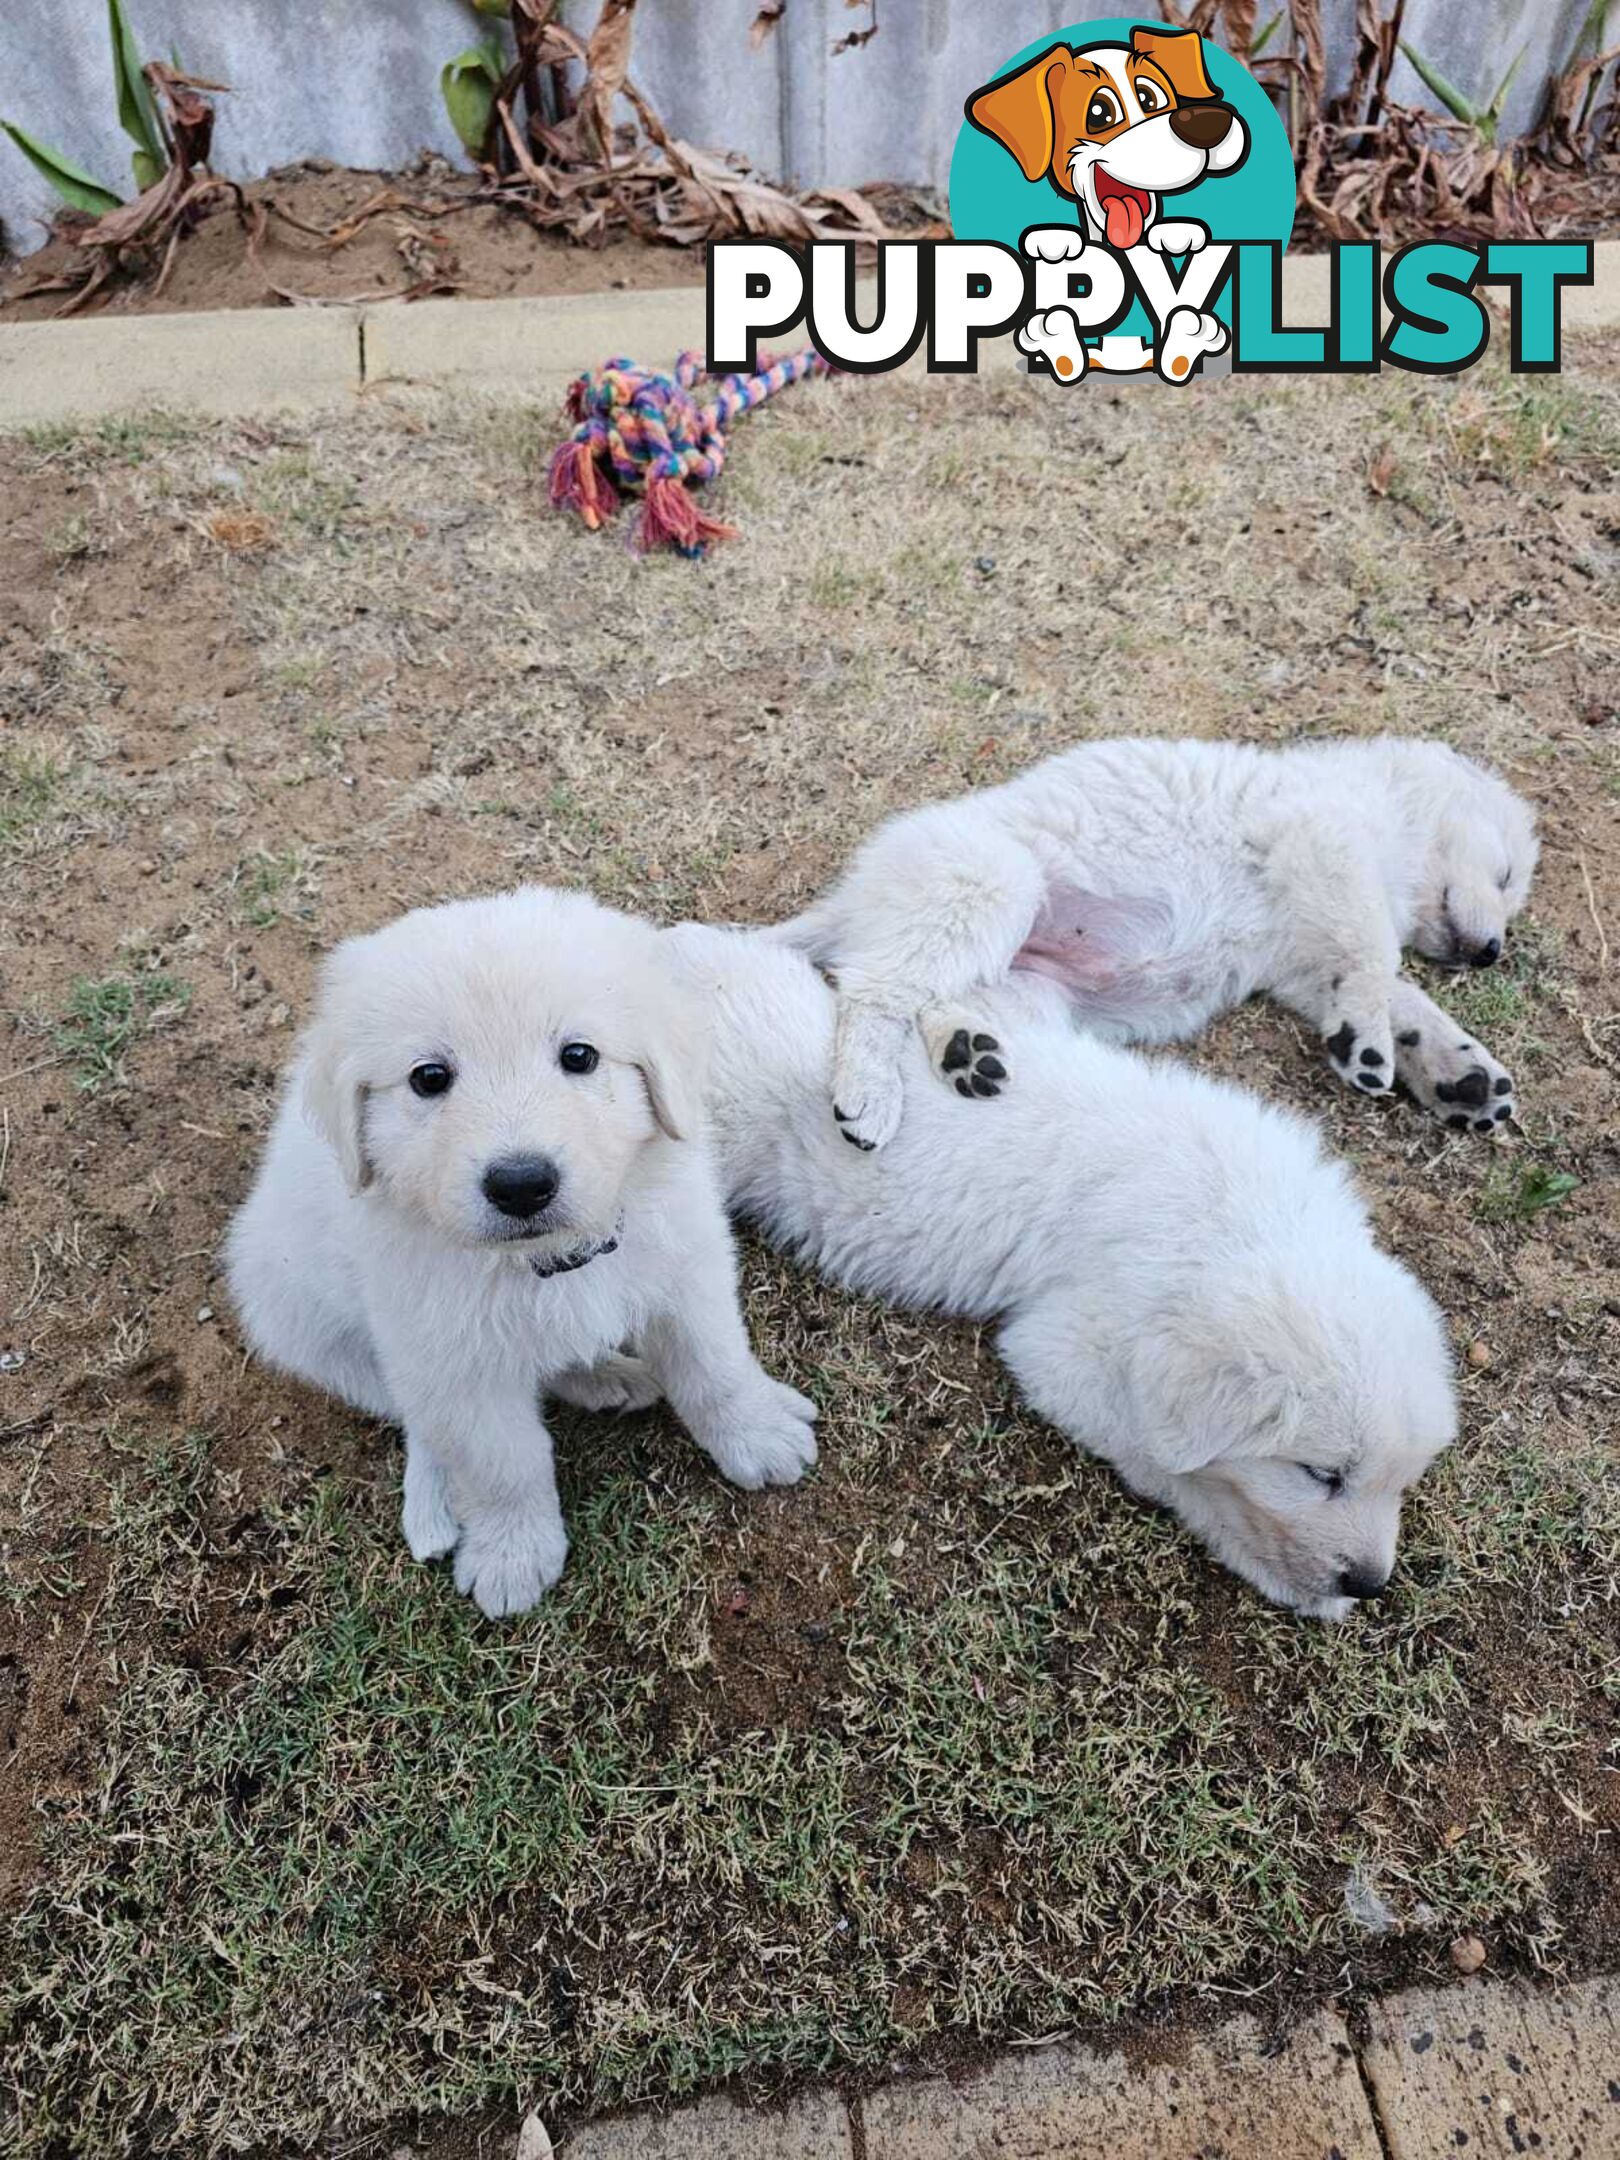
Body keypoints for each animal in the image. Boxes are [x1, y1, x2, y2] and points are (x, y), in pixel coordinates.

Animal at [222, 885, 816, 1615]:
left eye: (579, 1056)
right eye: (429, 1077)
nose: (521, 1184)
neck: (548, 1260)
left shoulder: (686, 1273)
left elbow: (715, 1367)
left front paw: (759, 1434)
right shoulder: (448, 1358)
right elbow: (501, 1461)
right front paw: (512, 1554)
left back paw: (608, 1376)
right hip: (315, 1330)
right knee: (420, 1422)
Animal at [673, 928, 1460, 1624]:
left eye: (1402, 1481)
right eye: (1322, 1475)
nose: (1370, 1583)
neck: (1246, 1228)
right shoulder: (1064, 1352)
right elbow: (1175, 1471)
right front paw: (1295, 1579)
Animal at [781, 738, 1537, 1157]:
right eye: (1505, 875)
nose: (1492, 952)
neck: (1388, 812)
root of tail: (851, 900)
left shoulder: (1302, 958)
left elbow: (1401, 998)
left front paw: (1461, 1074)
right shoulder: (1322, 844)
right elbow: (1377, 960)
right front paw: (1368, 1044)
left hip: (1031, 989)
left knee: (930, 999)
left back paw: (966, 1052)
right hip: (988, 888)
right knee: (874, 991)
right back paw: (870, 1093)